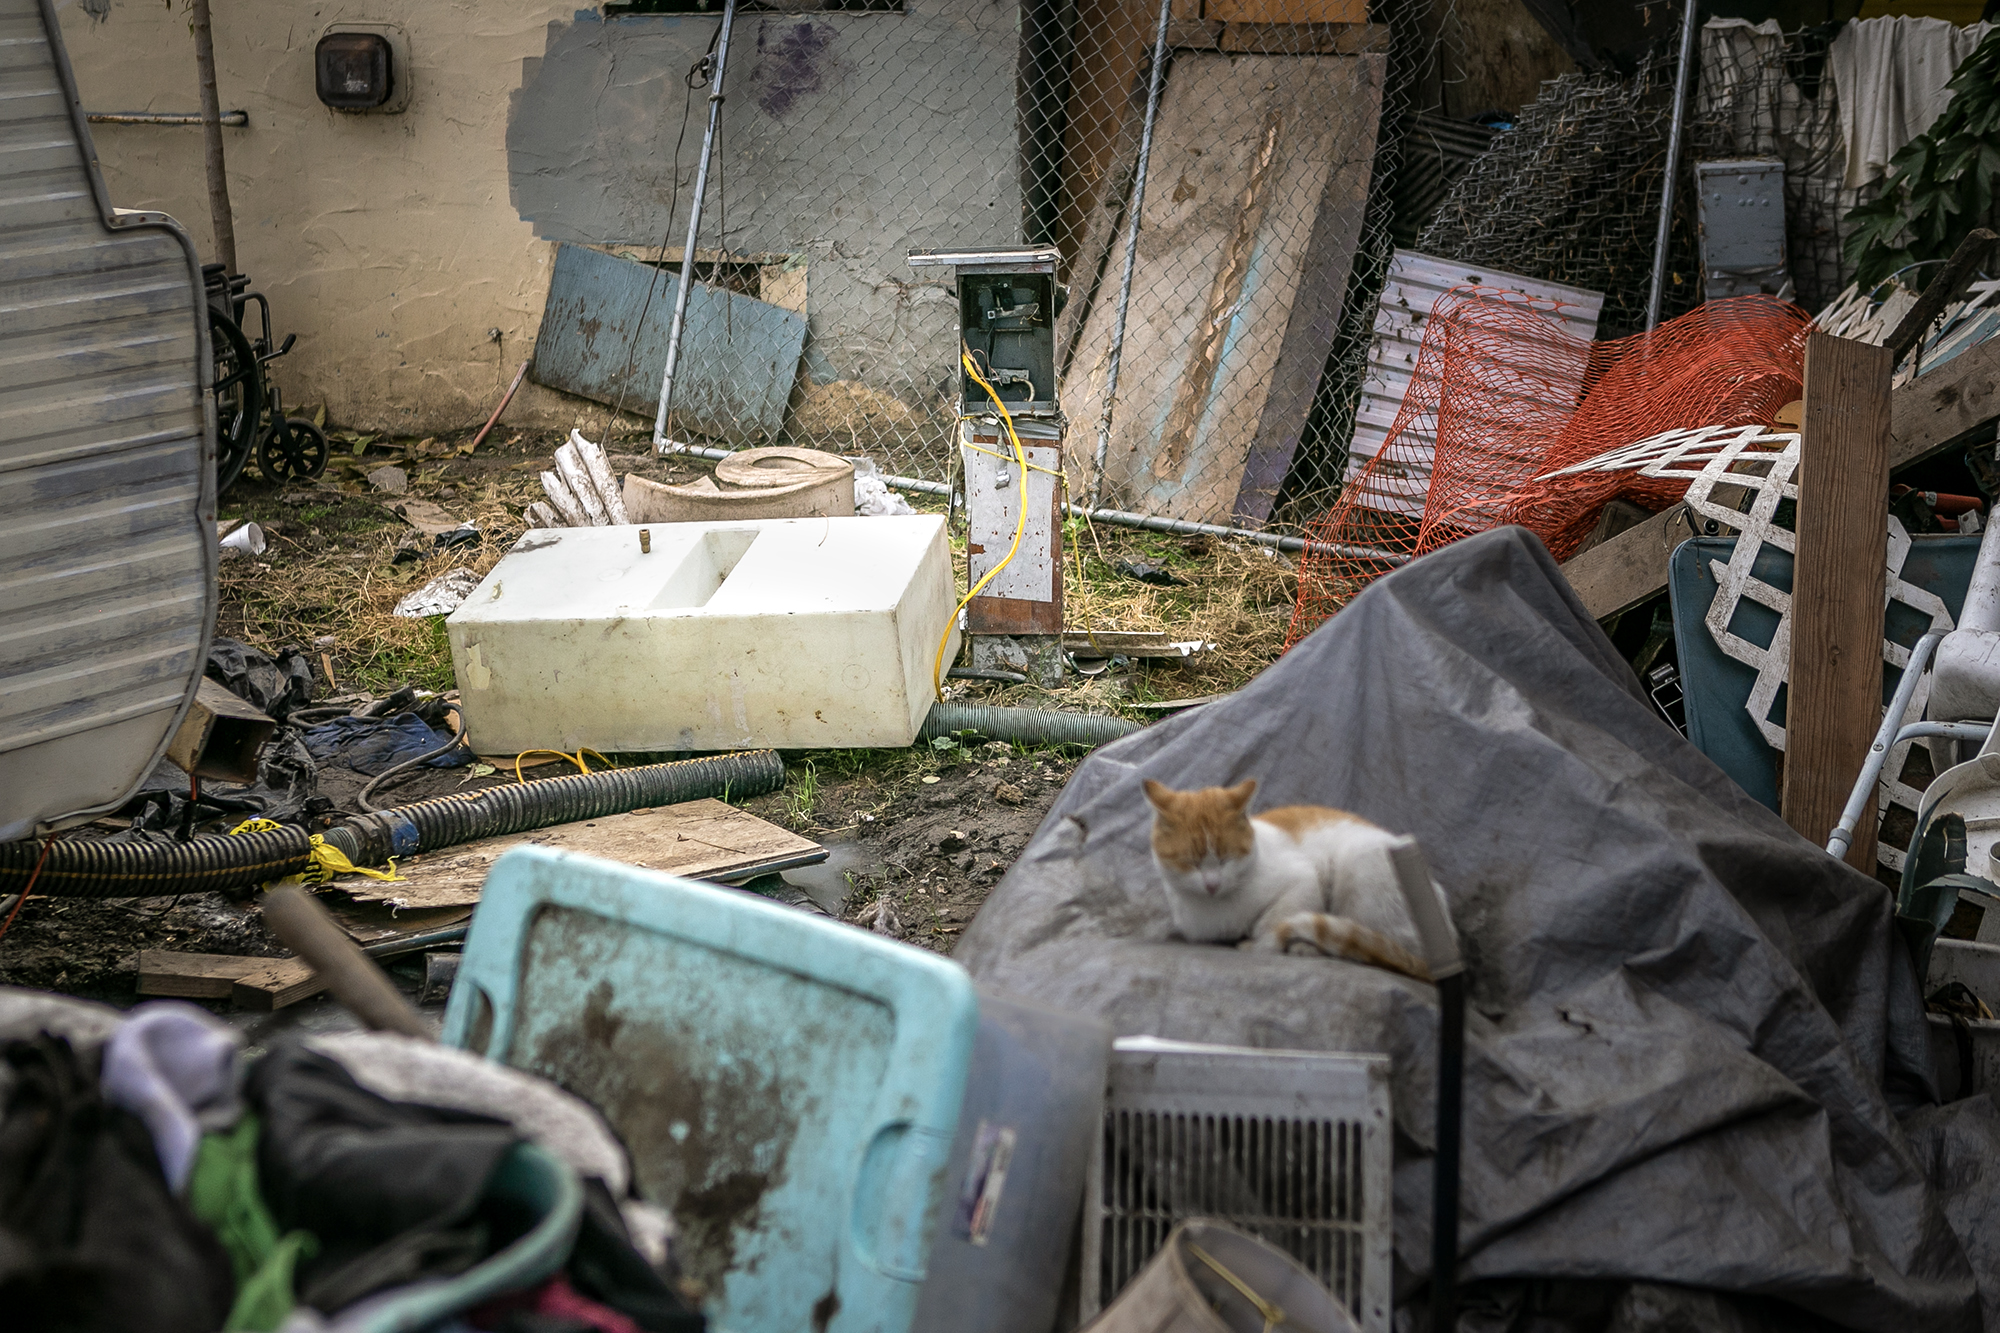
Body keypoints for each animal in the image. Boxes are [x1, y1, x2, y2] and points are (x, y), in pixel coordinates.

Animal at [1144, 780, 1456, 976]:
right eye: (1190, 863)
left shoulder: (1303, 880)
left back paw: (1307, 947)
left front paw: (1259, 944)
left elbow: (1273, 922)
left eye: (1227, 859)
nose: (1211, 884)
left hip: (1358, 867)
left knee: (1375, 948)